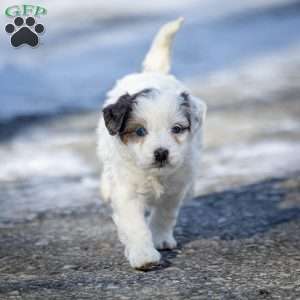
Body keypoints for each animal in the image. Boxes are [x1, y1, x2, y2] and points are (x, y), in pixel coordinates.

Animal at [98, 18, 206, 270]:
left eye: (176, 129)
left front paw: (160, 239)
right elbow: (135, 225)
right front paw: (143, 255)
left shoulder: (175, 188)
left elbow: (165, 214)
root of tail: (152, 73)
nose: (161, 153)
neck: (155, 175)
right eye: (140, 131)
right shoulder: (127, 192)